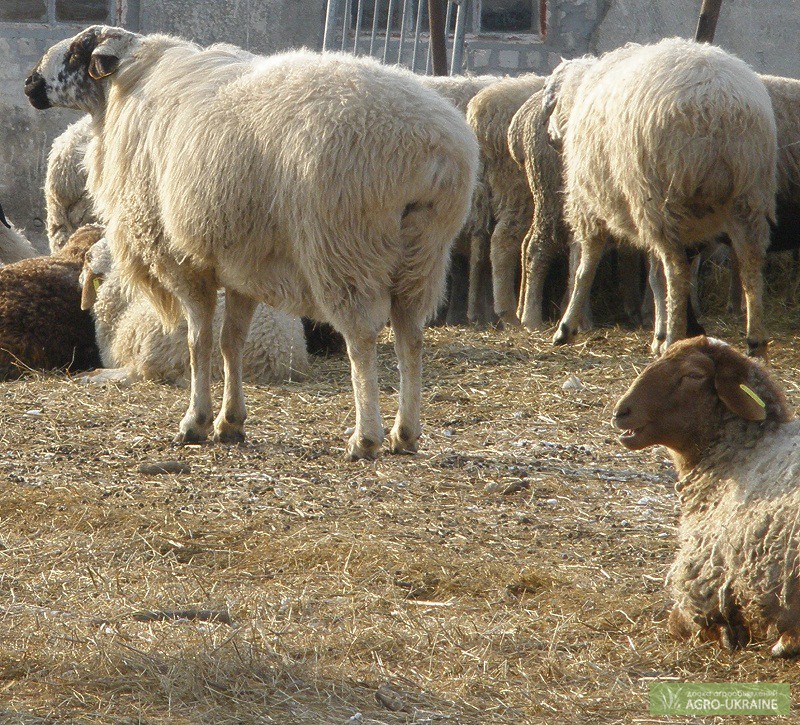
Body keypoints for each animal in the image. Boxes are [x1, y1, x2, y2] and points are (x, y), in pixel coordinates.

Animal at [25, 28, 478, 460]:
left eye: (77, 52)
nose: (30, 83)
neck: (126, 90)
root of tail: (430, 148)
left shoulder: (184, 260)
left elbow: (199, 342)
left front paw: (196, 422)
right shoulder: (242, 262)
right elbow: (232, 342)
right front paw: (230, 422)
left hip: (344, 245)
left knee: (363, 340)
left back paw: (365, 437)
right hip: (424, 253)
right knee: (410, 336)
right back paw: (406, 433)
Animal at [544, 39, 776, 356]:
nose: (549, 135)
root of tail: (716, 105)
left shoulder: (589, 203)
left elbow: (585, 267)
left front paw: (566, 327)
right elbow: (655, 278)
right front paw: (658, 332)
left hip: (659, 197)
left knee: (677, 271)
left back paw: (675, 338)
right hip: (748, 196)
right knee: (751, 262)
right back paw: (755, 342)